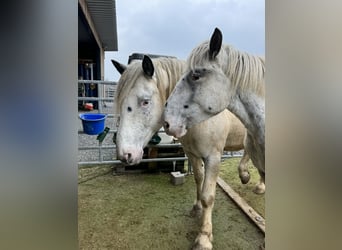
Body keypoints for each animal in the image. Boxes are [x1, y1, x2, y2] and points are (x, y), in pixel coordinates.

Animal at [112, 55, 251, 250]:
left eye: (145, 101)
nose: (125, 155)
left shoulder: (213, 158)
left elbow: (208, 196)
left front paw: (204, 237)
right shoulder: (192, 154)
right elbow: (198, 179)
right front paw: (197, 208)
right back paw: (248, 178)